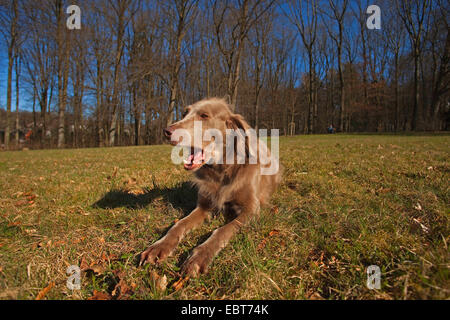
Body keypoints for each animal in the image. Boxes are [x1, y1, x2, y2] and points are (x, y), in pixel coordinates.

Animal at [139, 98, 284, 278]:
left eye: (204, 115)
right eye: (184, 113)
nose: (166, 131)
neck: (222, 171)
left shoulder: (251, 210)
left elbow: (222, 230)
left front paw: (199, 256)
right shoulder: (204, 206)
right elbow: (179, 225)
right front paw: (159, 246)